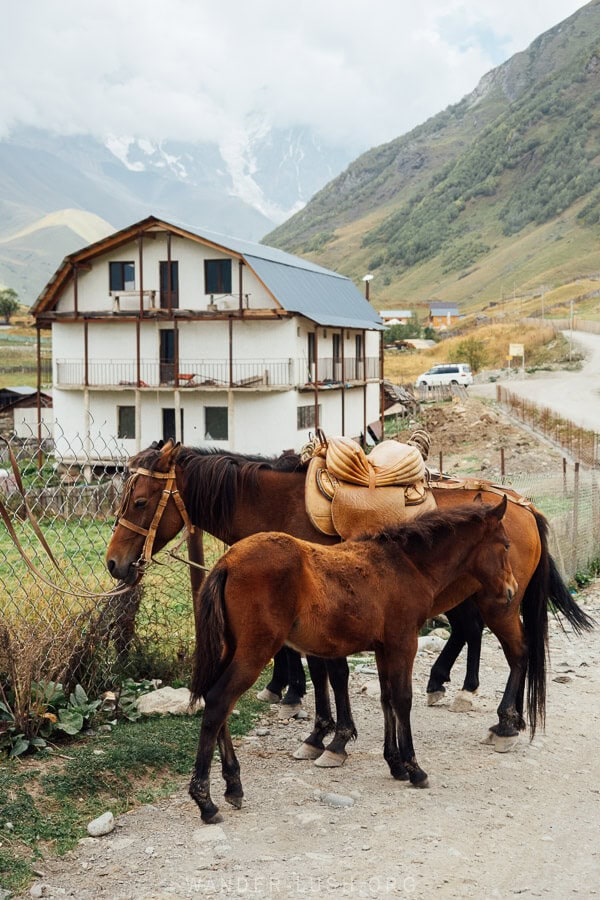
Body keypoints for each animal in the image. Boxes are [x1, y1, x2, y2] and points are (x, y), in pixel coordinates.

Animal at [105, 440, 592, 764]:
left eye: (141, 501)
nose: (114, 563)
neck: (280, 505)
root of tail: (522, 505)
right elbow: (322, 670)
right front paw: (318, 730)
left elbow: (328, 672)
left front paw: (333, 736)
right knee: (480, 637)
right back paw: (465, 695)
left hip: (500, 603)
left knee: (518, 652)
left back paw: (506, 722)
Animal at [190, 500, 516, 824]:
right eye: (505, 544)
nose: (511, 591)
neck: (406, 564)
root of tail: (227, 561)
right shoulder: (403, 644)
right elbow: (402, 700)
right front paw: (414, 768)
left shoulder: (385, 649)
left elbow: (387, 701)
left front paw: (395, 764)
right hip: (255, 650)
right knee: (219, 701)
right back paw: (206, 802)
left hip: (232, 649)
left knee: (217, 703)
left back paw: (233, 786)